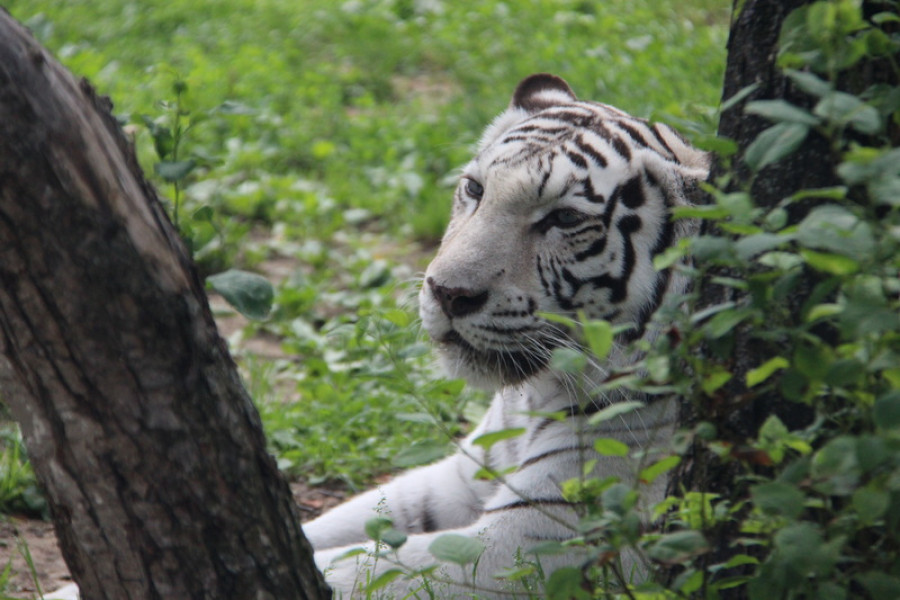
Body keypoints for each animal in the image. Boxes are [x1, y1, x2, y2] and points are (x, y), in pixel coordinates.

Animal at [303, 72, 710, 598]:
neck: (534, 394)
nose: (447, 292)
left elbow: (366, 569)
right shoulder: (457, 479)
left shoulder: (530, 540)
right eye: (475, 189)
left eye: (565, 219)